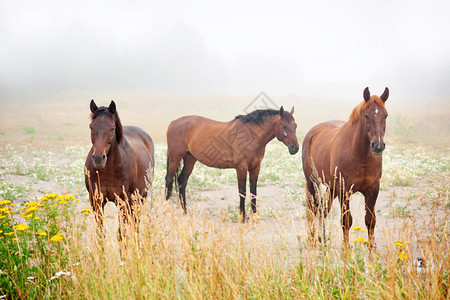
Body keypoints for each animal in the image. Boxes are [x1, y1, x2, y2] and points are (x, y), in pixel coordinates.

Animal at [85, 101, 155, 239]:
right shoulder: (96, 200)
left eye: (112, 128)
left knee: (135, 224)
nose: (98, 158)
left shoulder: (123, 201)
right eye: (91, 127)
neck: (109, 170)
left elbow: (121, 233)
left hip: (139, 198)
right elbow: (100, 232)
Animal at [165, 106, 298, 221]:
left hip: (190, 159)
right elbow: (242, 192)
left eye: (295, 125)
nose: (295, 148)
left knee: (182, 181)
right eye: (284, 125)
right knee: (169, 180)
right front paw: (243, 216)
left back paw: (186, 211)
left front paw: (254, 214)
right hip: (174, 158)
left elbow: (253, 191)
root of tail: (174, 122)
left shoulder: (255, 167)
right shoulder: (241, 168)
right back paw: (165, 208)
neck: (250, 135)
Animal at [302, 86, 390, 246]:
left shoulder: (373, 190)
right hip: (312, 183)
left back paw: (322, 239)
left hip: (331, 187)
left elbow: (370, 221)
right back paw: (313, 240)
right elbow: (346, 221)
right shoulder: (344, 191)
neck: (360, 156)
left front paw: (371, 249)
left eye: (385, 115)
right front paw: (345, 249)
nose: (378, 146)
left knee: (324, 210)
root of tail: (312, 133)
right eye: (366, 115)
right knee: (313, 210)